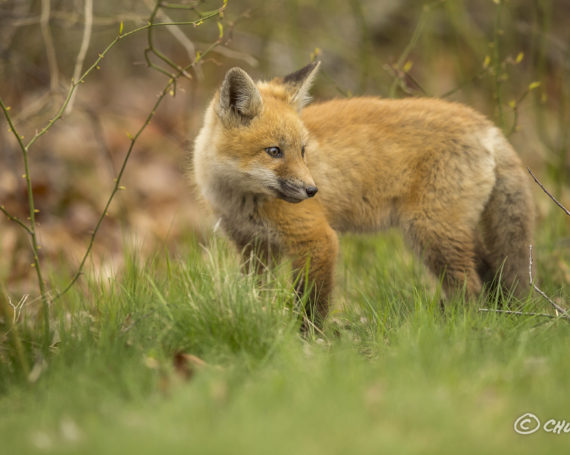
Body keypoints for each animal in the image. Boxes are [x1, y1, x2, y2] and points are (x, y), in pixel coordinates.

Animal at [191, 61, 532, 328]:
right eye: (274, 151)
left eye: (302, 151)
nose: (312, 190)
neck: (239, 199)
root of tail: (485, 124)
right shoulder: (255, 249)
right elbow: (256, 295)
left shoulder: (317, 239)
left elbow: (311, 304)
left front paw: (308, 342)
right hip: (452, 233)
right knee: (488, 274)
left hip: (432, 233)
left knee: (470, 287)